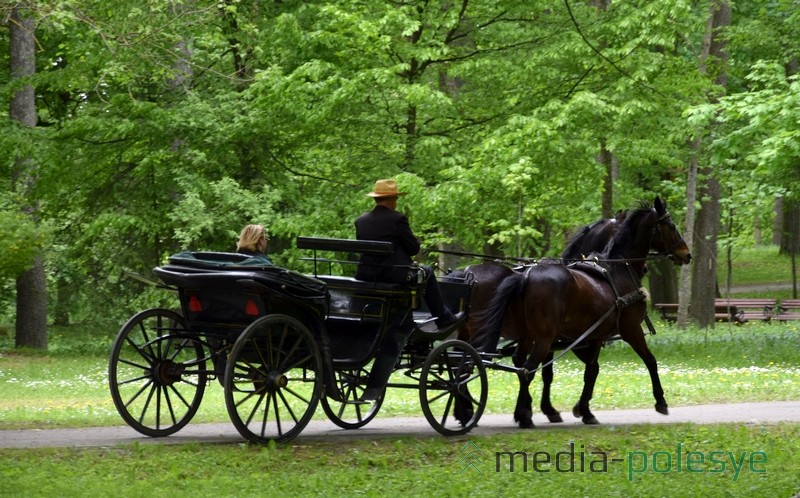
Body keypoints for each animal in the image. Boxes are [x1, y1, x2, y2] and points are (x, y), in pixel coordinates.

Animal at [472, 196, 692, 426]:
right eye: (671, 226)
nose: (687, 254)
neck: (619, 268)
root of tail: (525, 276)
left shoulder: (592, 336)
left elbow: (590, 371)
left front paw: (583, 409)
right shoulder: (630, 330)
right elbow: (650, 361)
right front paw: (661, 401)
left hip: (527, 336)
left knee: (519, 364)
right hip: (542, 338)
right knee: (526, 370)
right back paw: (520, 415)